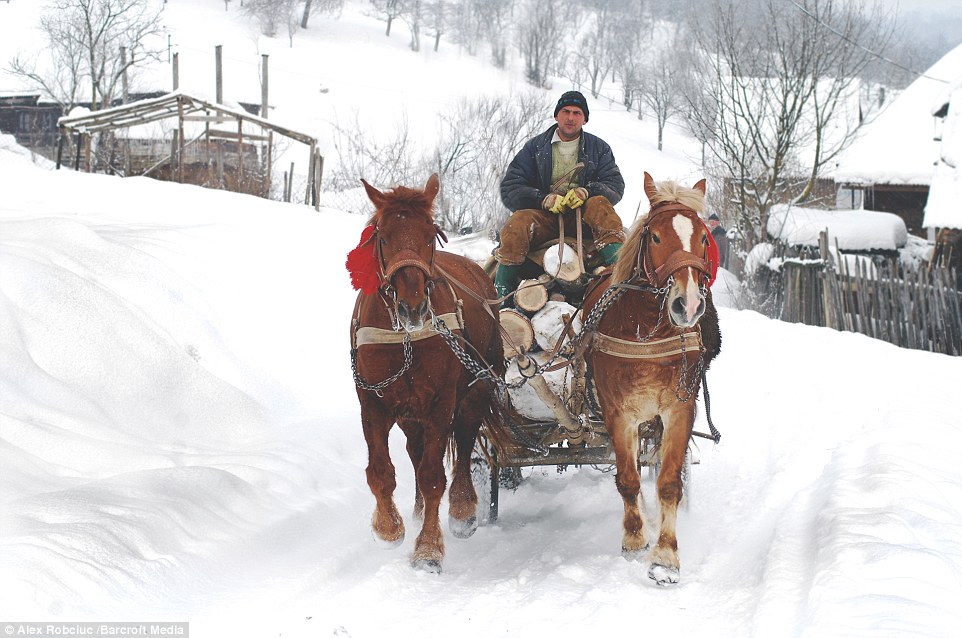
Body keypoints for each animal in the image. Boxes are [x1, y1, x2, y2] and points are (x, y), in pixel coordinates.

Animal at [348, 174, 506, 576]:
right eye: (382, 237)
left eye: (430, 235)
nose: (413, 307)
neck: (404, 337)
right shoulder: (372, 402)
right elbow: (381, 472)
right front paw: (389, 527)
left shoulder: (440, 403)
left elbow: (435, 477)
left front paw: (429, 549)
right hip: (409, 413)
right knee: (415, 452)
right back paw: (419, 511)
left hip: (476, 389)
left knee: (463, 445)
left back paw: (463, 508)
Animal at [576, 172, 720, 588]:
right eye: (655, 236)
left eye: (703, 238)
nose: (689, 305)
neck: (648, 333)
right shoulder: (618, 413)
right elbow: (627, 479)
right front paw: (635, 538)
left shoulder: (679, 408)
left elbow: (669, 482)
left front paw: (666, 558)